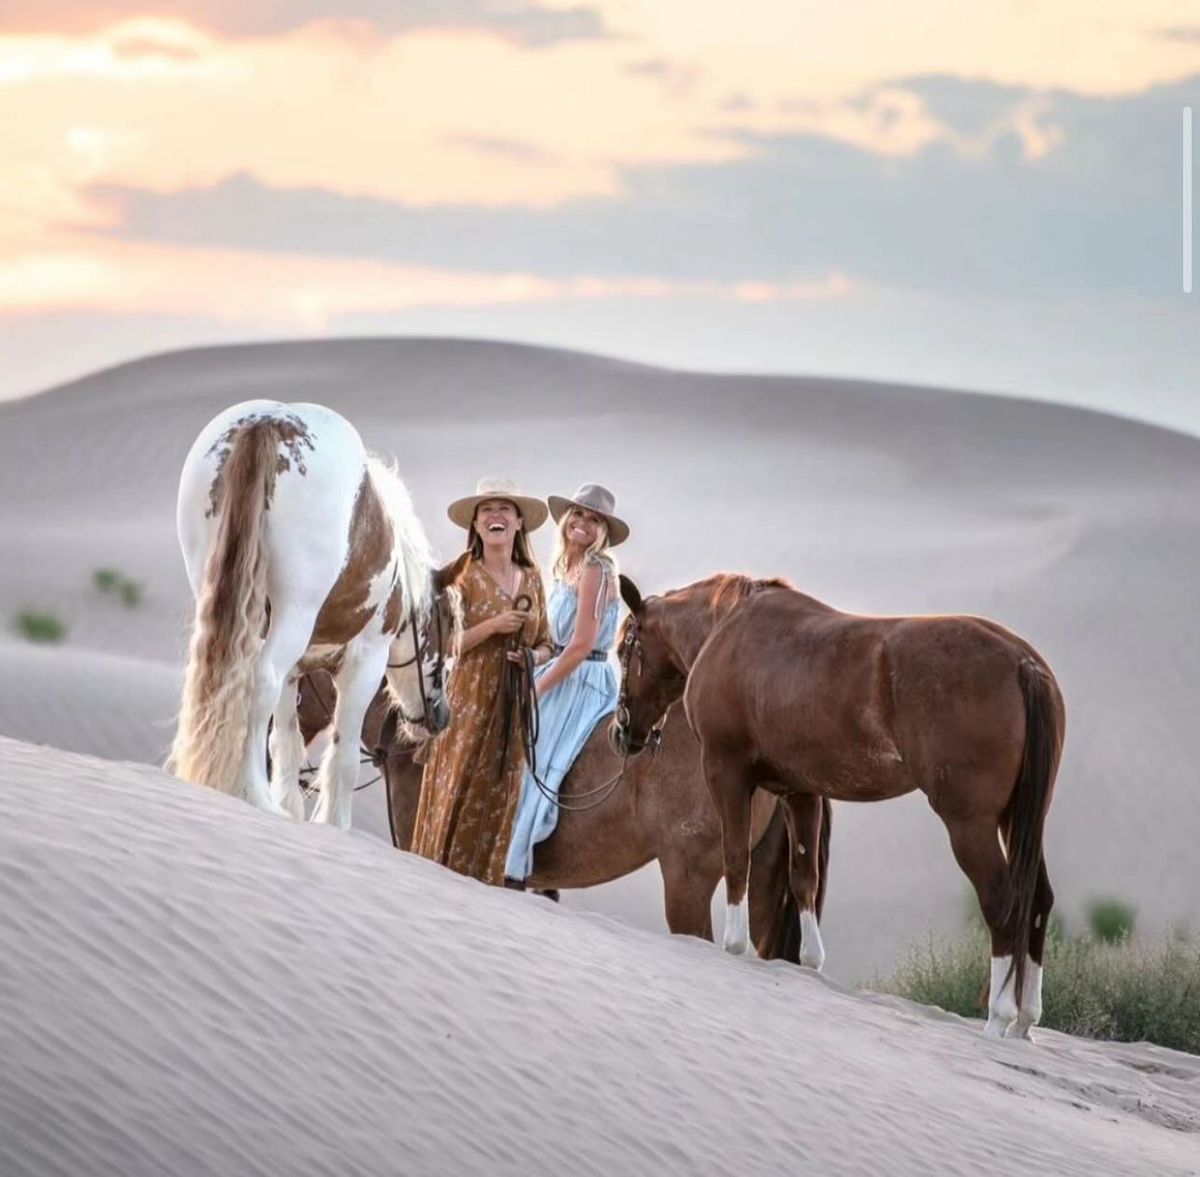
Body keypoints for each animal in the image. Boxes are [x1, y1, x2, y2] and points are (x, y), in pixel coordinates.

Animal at [171, 403, 460, 825]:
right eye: (452, 627)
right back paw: (253, 793)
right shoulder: (365, 662)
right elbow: (343, 755)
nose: (441, 717)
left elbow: (285, 742)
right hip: (295, 612)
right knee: (260, 680)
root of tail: (267, 423)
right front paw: (332, 823)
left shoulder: (297, 669)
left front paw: (290, 806)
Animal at [614, 571, 1065, 1036]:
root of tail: (1022, 664)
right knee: (1038, 901)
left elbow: (737, 860)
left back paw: (998, 1019)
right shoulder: (800, 792)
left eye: (623, 647)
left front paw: (734, 946)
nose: (623, 731)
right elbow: (804, 879)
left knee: (1002, 902)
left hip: (970, 823)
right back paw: (1024, 1022)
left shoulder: (727, 774)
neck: (728, 629)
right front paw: (809, 963)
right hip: (1017, 819)